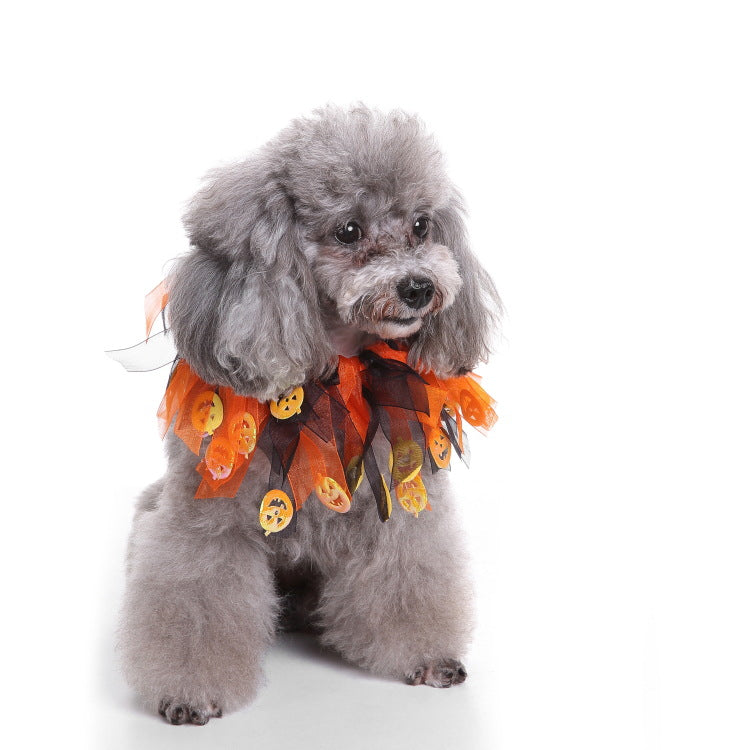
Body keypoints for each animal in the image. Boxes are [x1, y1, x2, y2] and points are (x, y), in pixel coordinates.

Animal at [120, 103, 502, 724]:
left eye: (422, 225)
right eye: (348, 230)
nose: (419, 287)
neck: (334, 369)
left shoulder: (396, 504)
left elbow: (411, 573)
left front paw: (424, 656)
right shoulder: (206, 523)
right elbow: (196, 598)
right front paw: (189, 691)